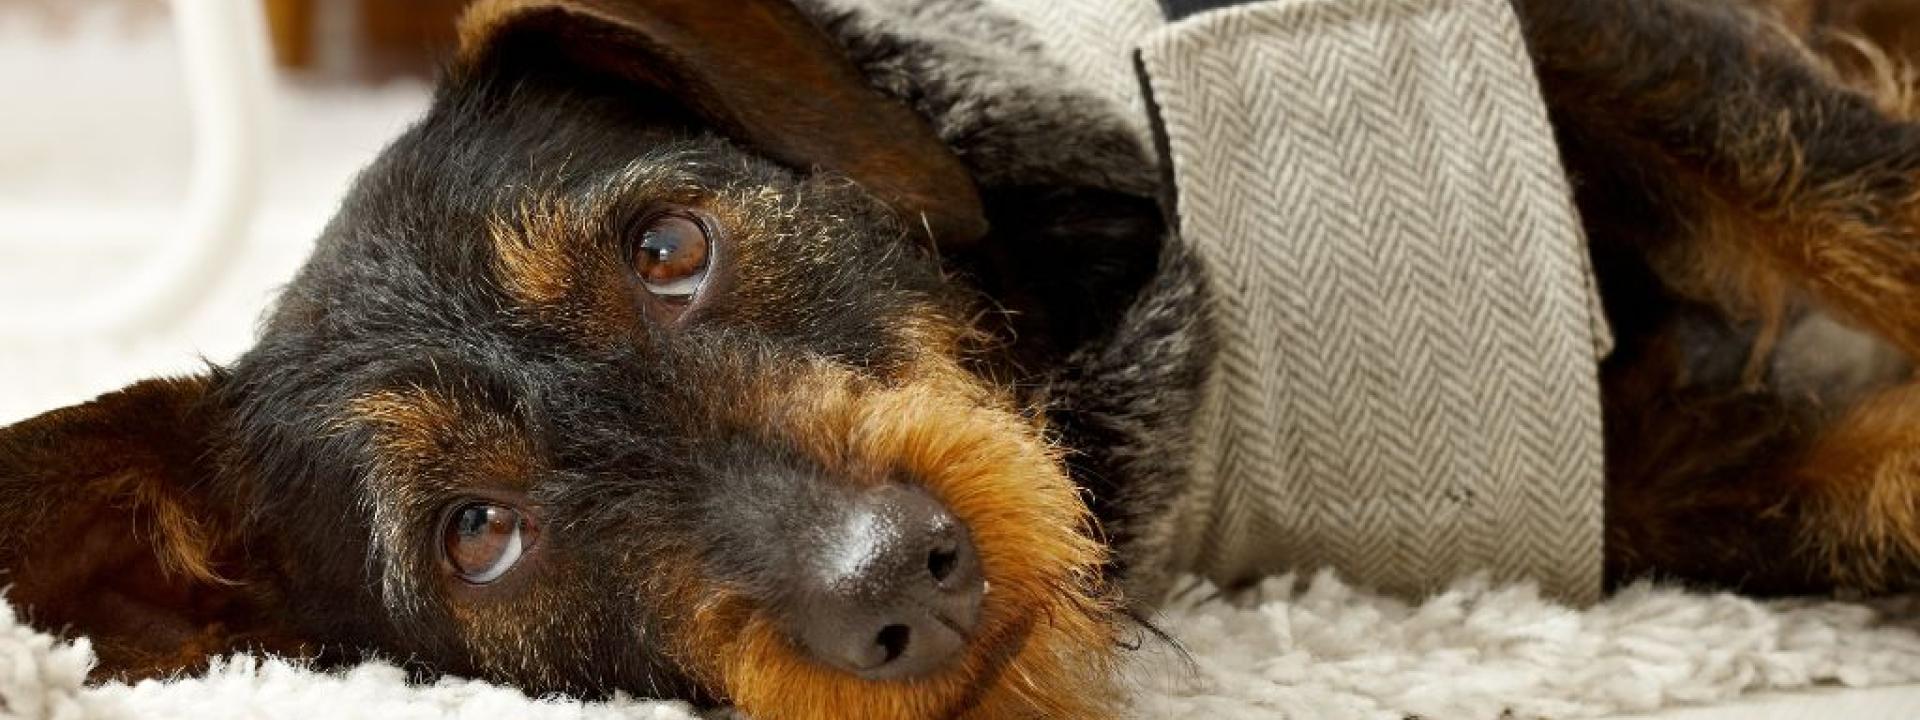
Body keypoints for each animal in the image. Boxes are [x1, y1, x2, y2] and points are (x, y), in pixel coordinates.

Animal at [3, 0, 1920, 718]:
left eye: (671, 248)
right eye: (481, 537)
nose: (891, 587)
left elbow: (1850, 183)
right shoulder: (1629, 475)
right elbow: (1857, 488)